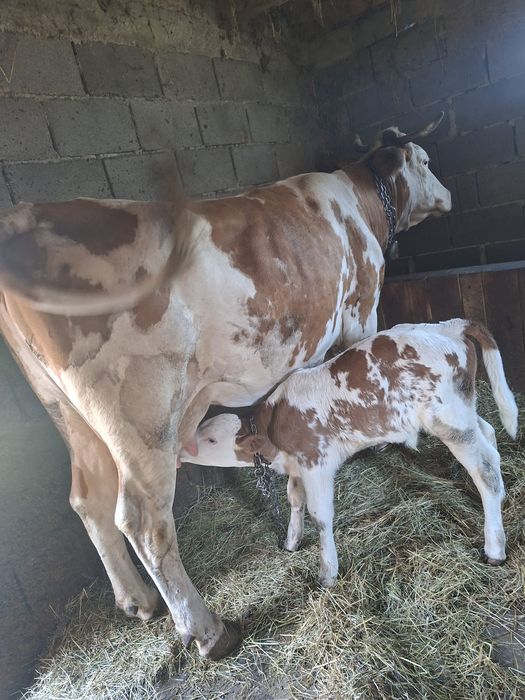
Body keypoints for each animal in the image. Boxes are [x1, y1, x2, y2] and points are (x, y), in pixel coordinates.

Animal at [0, 118, 450, 659]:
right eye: (425, 160)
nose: (449, 196)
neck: (356, 205)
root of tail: (23, 218)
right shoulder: (361, 309)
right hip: (143, 414)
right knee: (144, 520)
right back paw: (207, 631)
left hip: (65, 411)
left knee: (89, 501)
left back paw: (137, 601)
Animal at [183, 320, 517, 587]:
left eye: (211, 439)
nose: (184, 448)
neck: (273, 426)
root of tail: (449, 326)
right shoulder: (298, 465)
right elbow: (294, 500)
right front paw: (291, 540)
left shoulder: (316, 461)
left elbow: (320, 515)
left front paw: (327, 572)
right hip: (464, 413)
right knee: (488, 436)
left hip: (449, 421)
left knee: (485, 471)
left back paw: (494, 547)